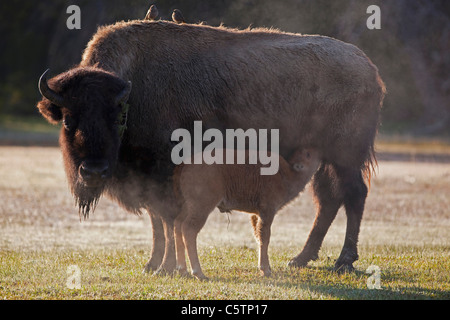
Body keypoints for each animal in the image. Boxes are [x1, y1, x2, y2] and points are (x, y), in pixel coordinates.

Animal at [173, 149, 320, 278]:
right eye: (308, 154)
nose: (320, 157)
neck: (286, 173)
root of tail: (187, 164)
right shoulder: (267, 212)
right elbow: (265, 236)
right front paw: (266, 270)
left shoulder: (256, 214)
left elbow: (258, 235)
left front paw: (266, 267)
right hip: (202, 207)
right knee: (189, 229)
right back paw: (199, 273)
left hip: (188, 206)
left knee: (178, 224)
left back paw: (182, 270)